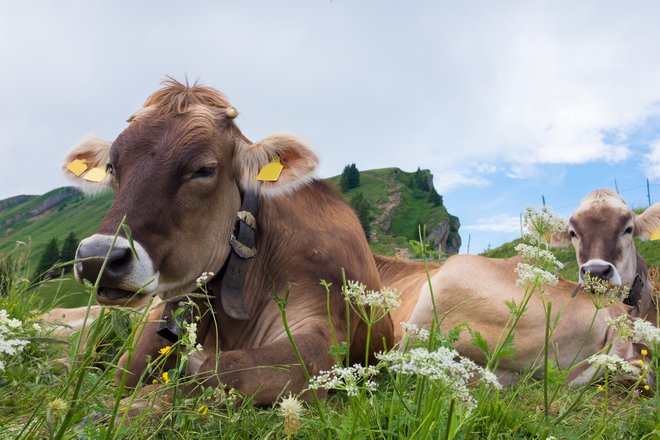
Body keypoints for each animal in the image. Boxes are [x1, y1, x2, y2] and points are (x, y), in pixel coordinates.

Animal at [60, 80, 392, 406]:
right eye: (112, 167)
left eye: (204, 169)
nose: (96, 258)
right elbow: (128, 372)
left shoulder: (323, 331)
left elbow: (223, 370)